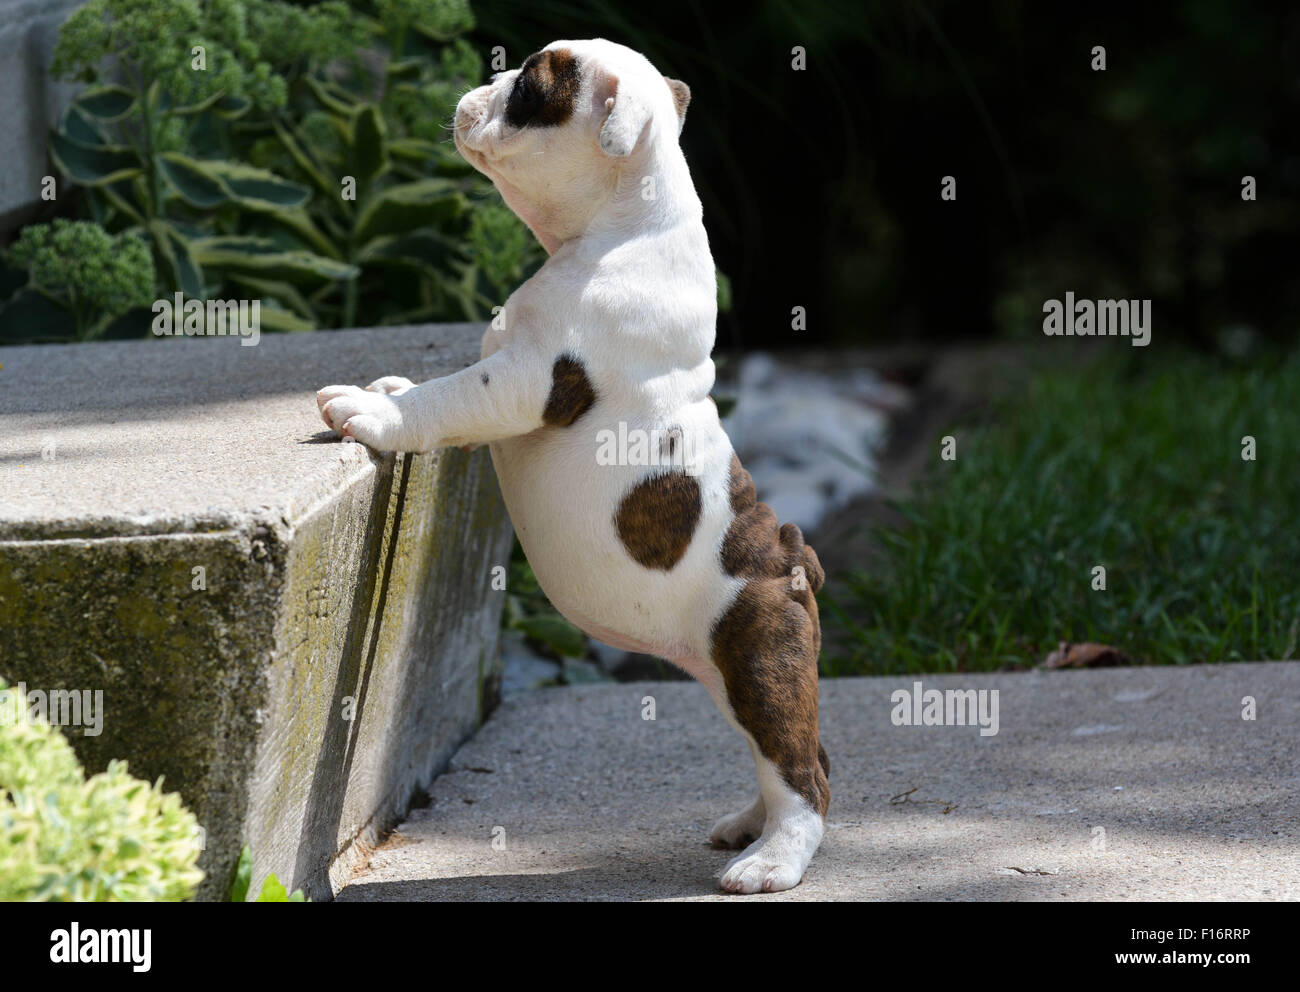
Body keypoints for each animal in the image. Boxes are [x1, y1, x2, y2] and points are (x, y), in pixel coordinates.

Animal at [315, 38, 826, 894]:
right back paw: (749, 826)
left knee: (802, 769)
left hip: (758, 657)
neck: (625, 219)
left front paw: (375, 411)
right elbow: (439, 386)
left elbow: (451, 396)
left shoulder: (526, 376)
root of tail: (793, 559)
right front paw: (388, 386)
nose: (481, 85)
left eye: (528, 87)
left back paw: (771, 863)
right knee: (783, 756)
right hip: (730, 671)